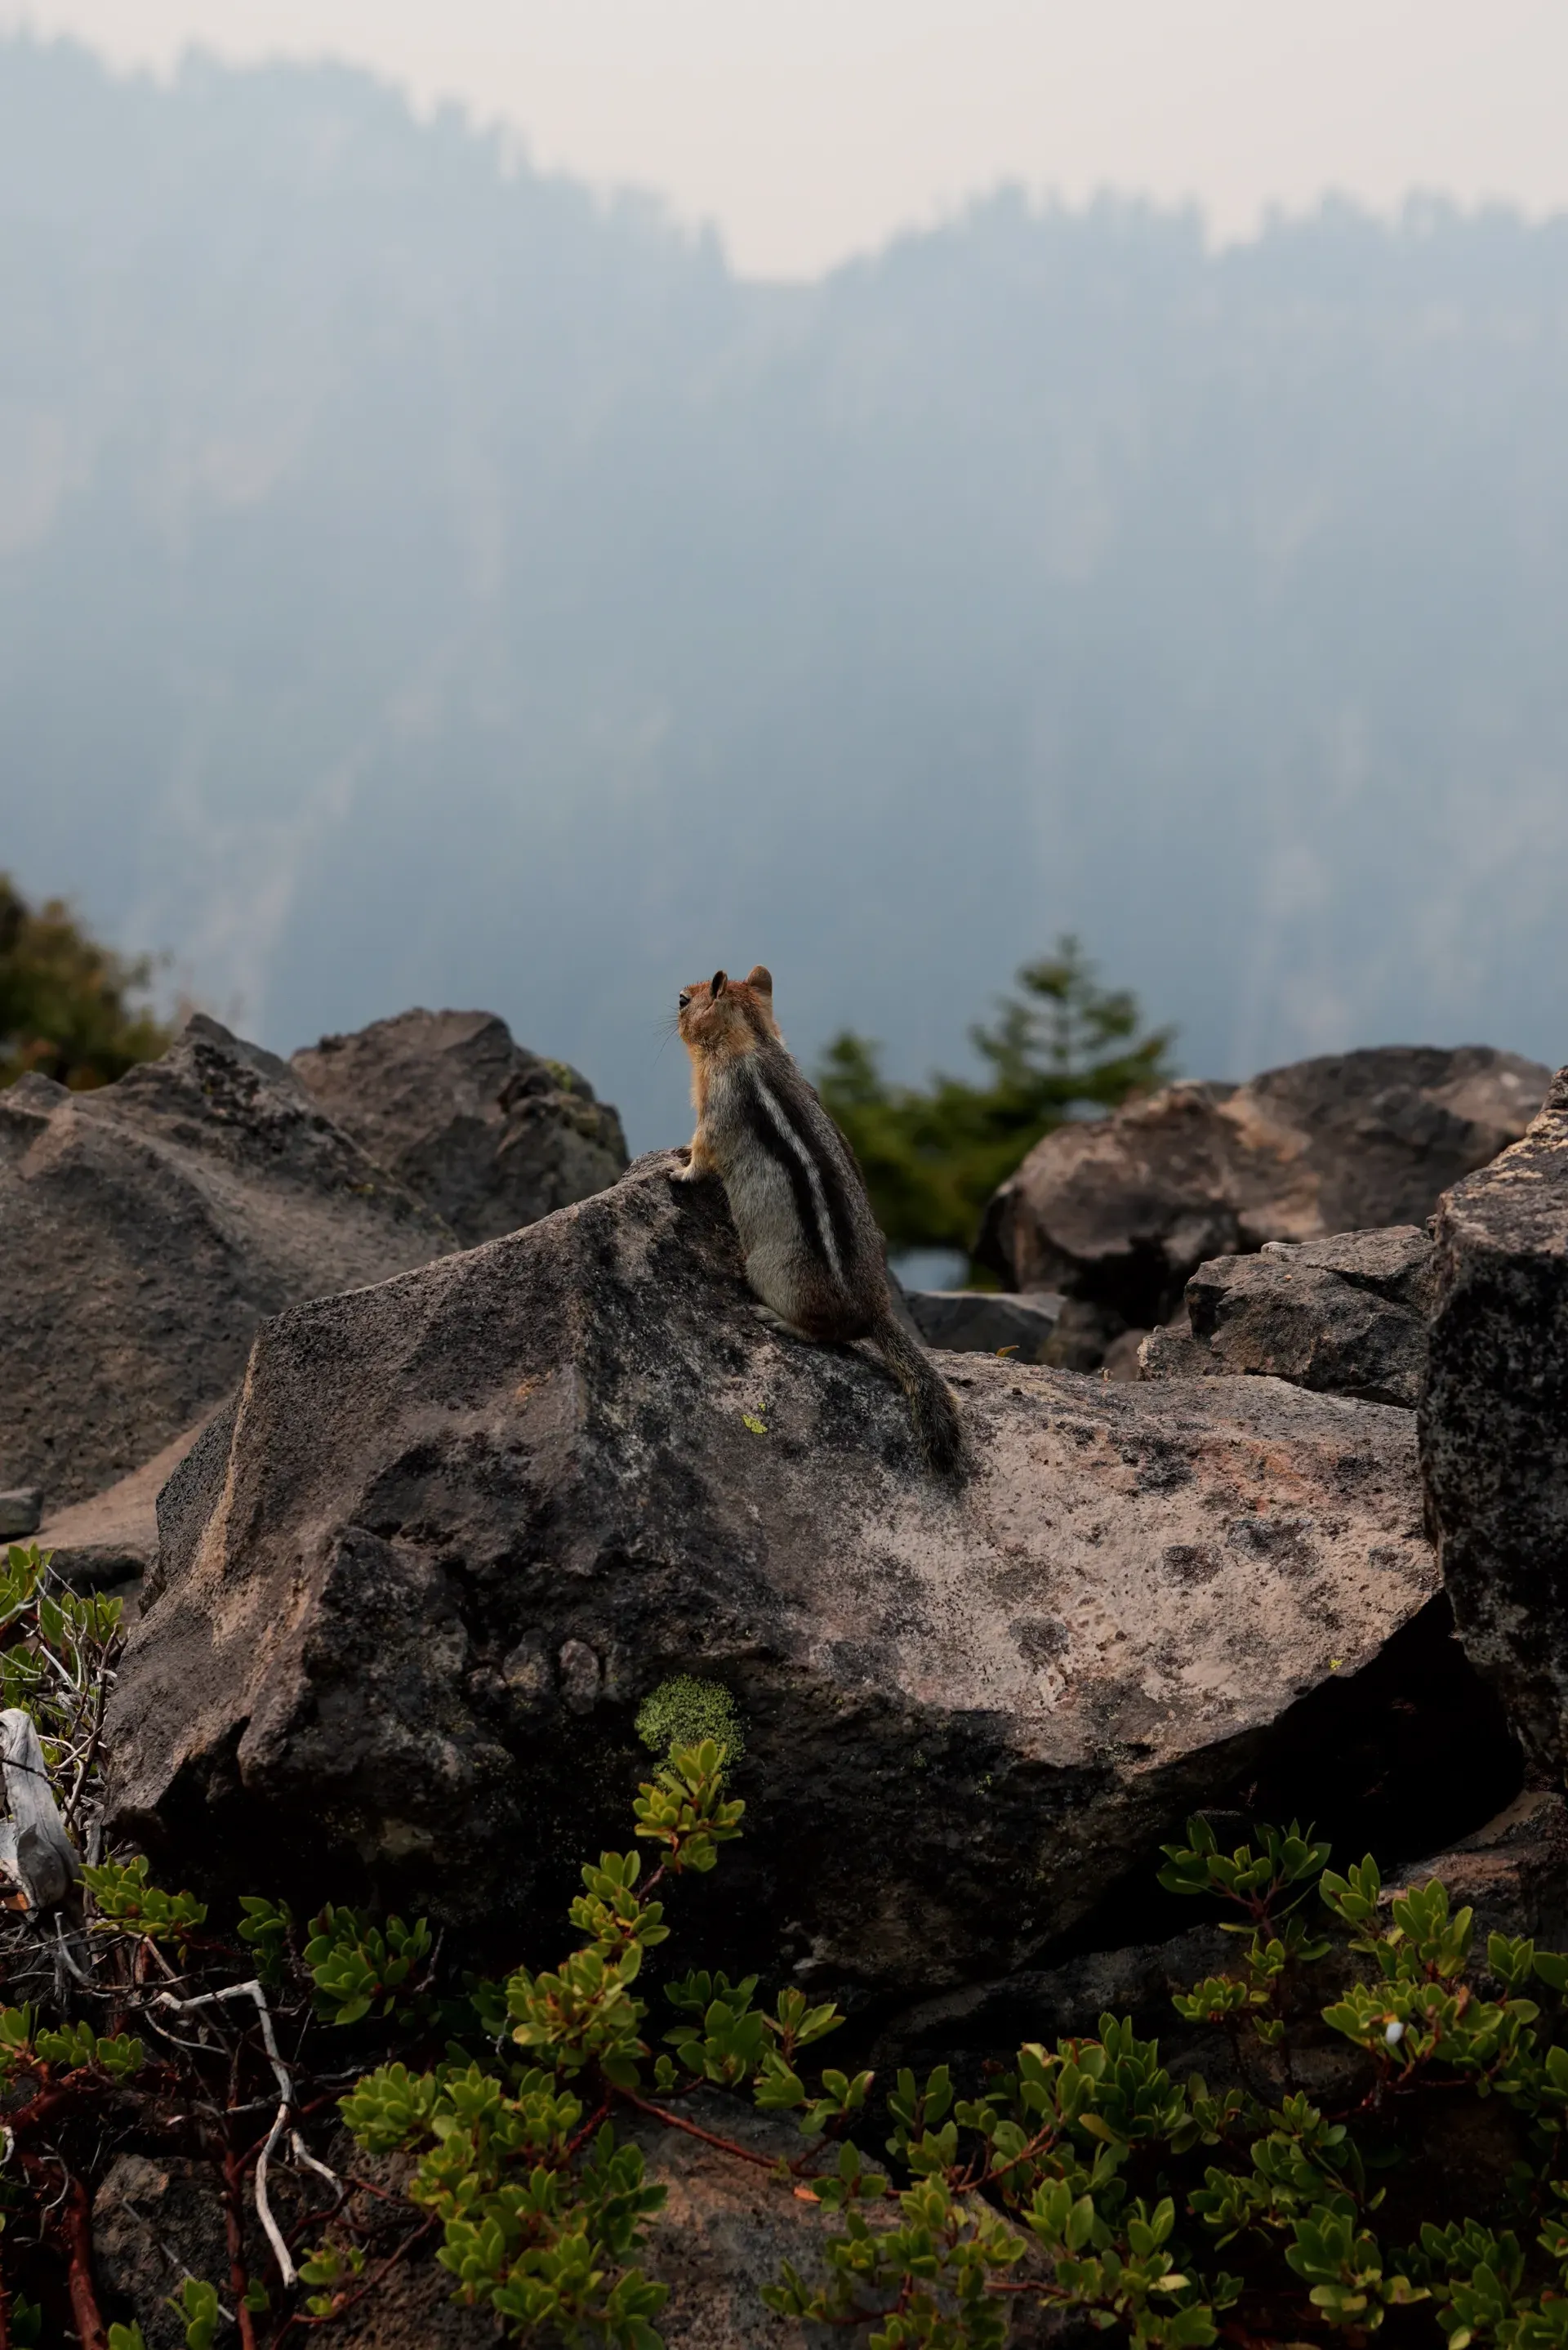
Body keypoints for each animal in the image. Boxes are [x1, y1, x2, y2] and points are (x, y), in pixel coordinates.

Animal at [674, 964, 965, 1477]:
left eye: (685, 1001)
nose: (673, 1005)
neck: (754, 1039)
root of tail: (875, 1309)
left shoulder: (716, 1109)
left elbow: (703, 1149)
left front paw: (679, 1169)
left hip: (770, 1273)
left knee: (823, 1335)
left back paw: (775, 1319)